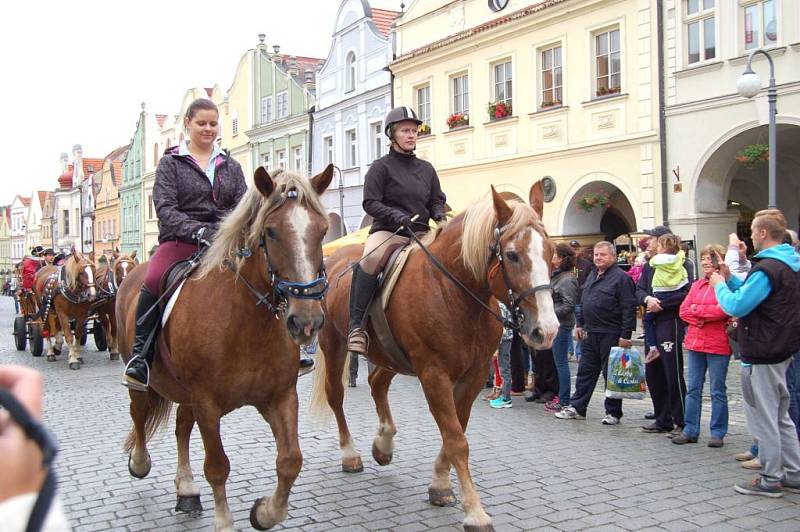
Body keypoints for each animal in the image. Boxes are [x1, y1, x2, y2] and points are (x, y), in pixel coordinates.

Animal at [115, 166, 332, 532]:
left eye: (323, 230)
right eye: (271, 232)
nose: (306, 320)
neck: (243, 323)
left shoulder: (280, 397)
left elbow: (290, 460)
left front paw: (265, 512)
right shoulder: (207, 402)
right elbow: (217, 466)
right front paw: (225, 521)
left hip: (186, 394)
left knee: (181, 428)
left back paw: (186, 489)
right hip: (145, 379)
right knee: (139, 413)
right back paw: (140, 461)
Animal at [310, 184, 560, 532]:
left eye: (551, 252)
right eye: (512, 255)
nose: (546, 330)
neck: (452, 291)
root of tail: (334, 260)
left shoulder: (473, 375)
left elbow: (458, 429)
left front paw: (440, 484)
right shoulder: (434, 374)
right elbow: (455, 438)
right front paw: (475, 511)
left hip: (390, 355)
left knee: (377, 382)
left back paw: (383, 444)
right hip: (334, 345)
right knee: (336, 395)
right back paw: (350, 454)